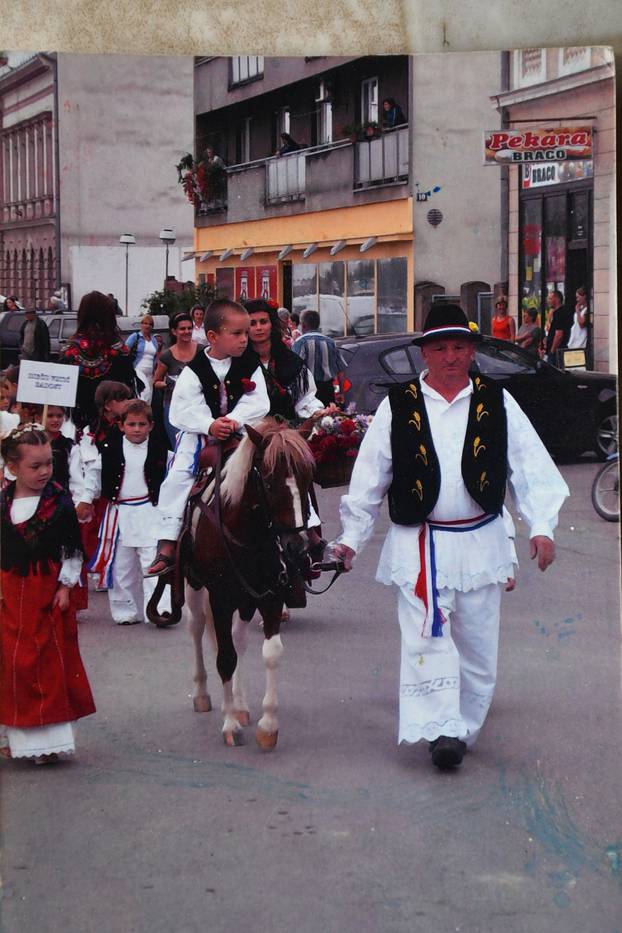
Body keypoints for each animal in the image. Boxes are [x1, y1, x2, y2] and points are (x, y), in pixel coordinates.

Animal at [147, 420, 316, 748]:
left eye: (307, 478)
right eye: (269, 481)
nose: (296, 548)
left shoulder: (270, 595)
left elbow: (269, 653)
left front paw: (267, 725)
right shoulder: (220, 598)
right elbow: (225, 657)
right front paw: (229, 725)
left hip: (246, 599)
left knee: (238, 639)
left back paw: (240, 706)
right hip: (195, 589)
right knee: (197, 629)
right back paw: (203, 695)